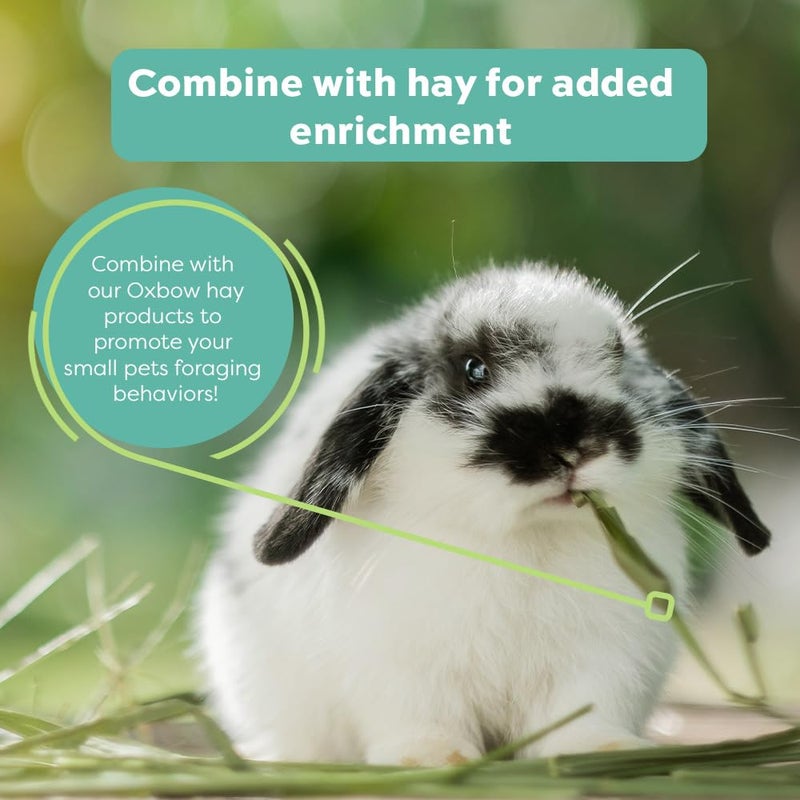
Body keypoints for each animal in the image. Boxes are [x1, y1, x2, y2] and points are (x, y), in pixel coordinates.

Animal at [195, 263, 771, 765]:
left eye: (615, 358)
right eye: (474, 369)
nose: (572, 448)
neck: (524, 541)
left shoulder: (603, 661)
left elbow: (585, 715)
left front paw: (603, 750)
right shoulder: (400, 665)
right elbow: (422, 719)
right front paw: (429, 759)